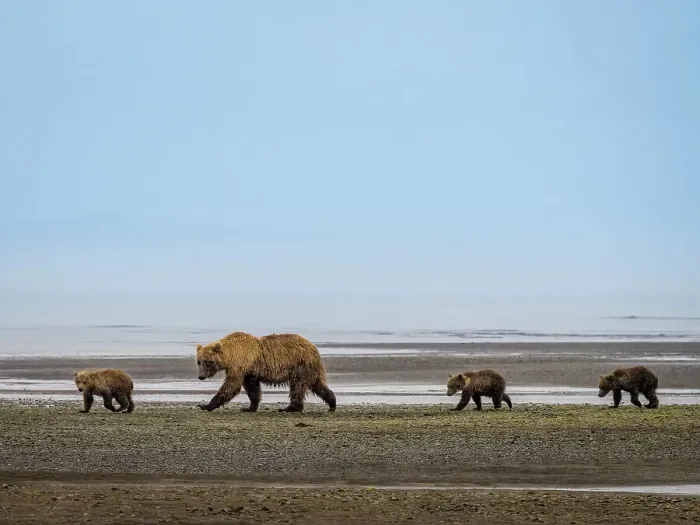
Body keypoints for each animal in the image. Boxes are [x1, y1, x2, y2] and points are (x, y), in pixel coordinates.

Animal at [195, 331, 337, 413]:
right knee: (317, 385)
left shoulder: (240, 364)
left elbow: (231, 385)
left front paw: (205, 405)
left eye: (207, 362)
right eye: (199, 361)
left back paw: (289, 408)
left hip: (300, 365)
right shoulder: (249, 371)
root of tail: (314, 348)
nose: (200, 376)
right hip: (309, 369)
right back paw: (332, 403)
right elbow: (252, 388)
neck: (231, 354)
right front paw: (249, 407)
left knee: (297, 386)